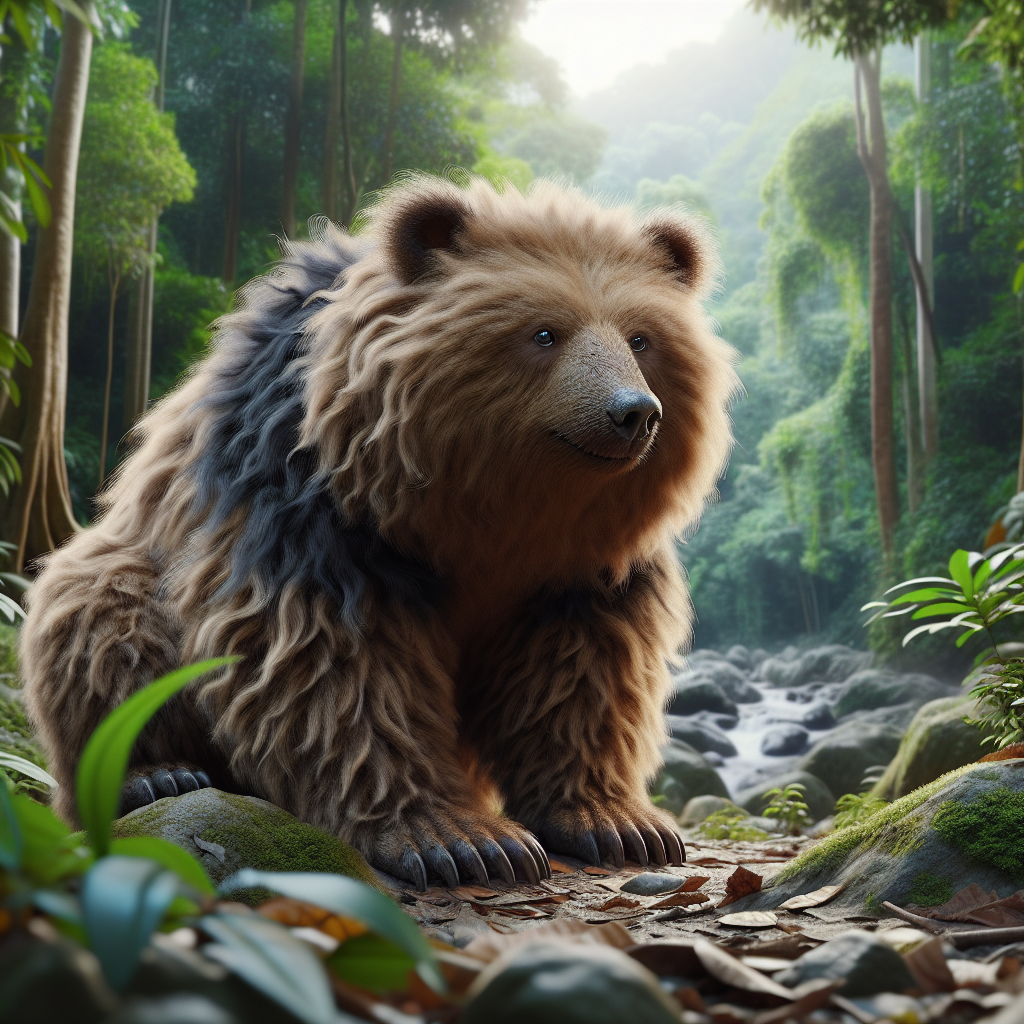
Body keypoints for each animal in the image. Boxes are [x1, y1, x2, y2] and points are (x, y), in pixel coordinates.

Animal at [21, 175, 738, 889]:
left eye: (641, 338)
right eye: (543, 333)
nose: (633, 412)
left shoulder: (580, 567)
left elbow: (580, 669)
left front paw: (620, 823)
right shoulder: (310, 506)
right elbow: (335, 659)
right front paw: (465, 839)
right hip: (129, 561)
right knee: (101, 620)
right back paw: (155, 773)